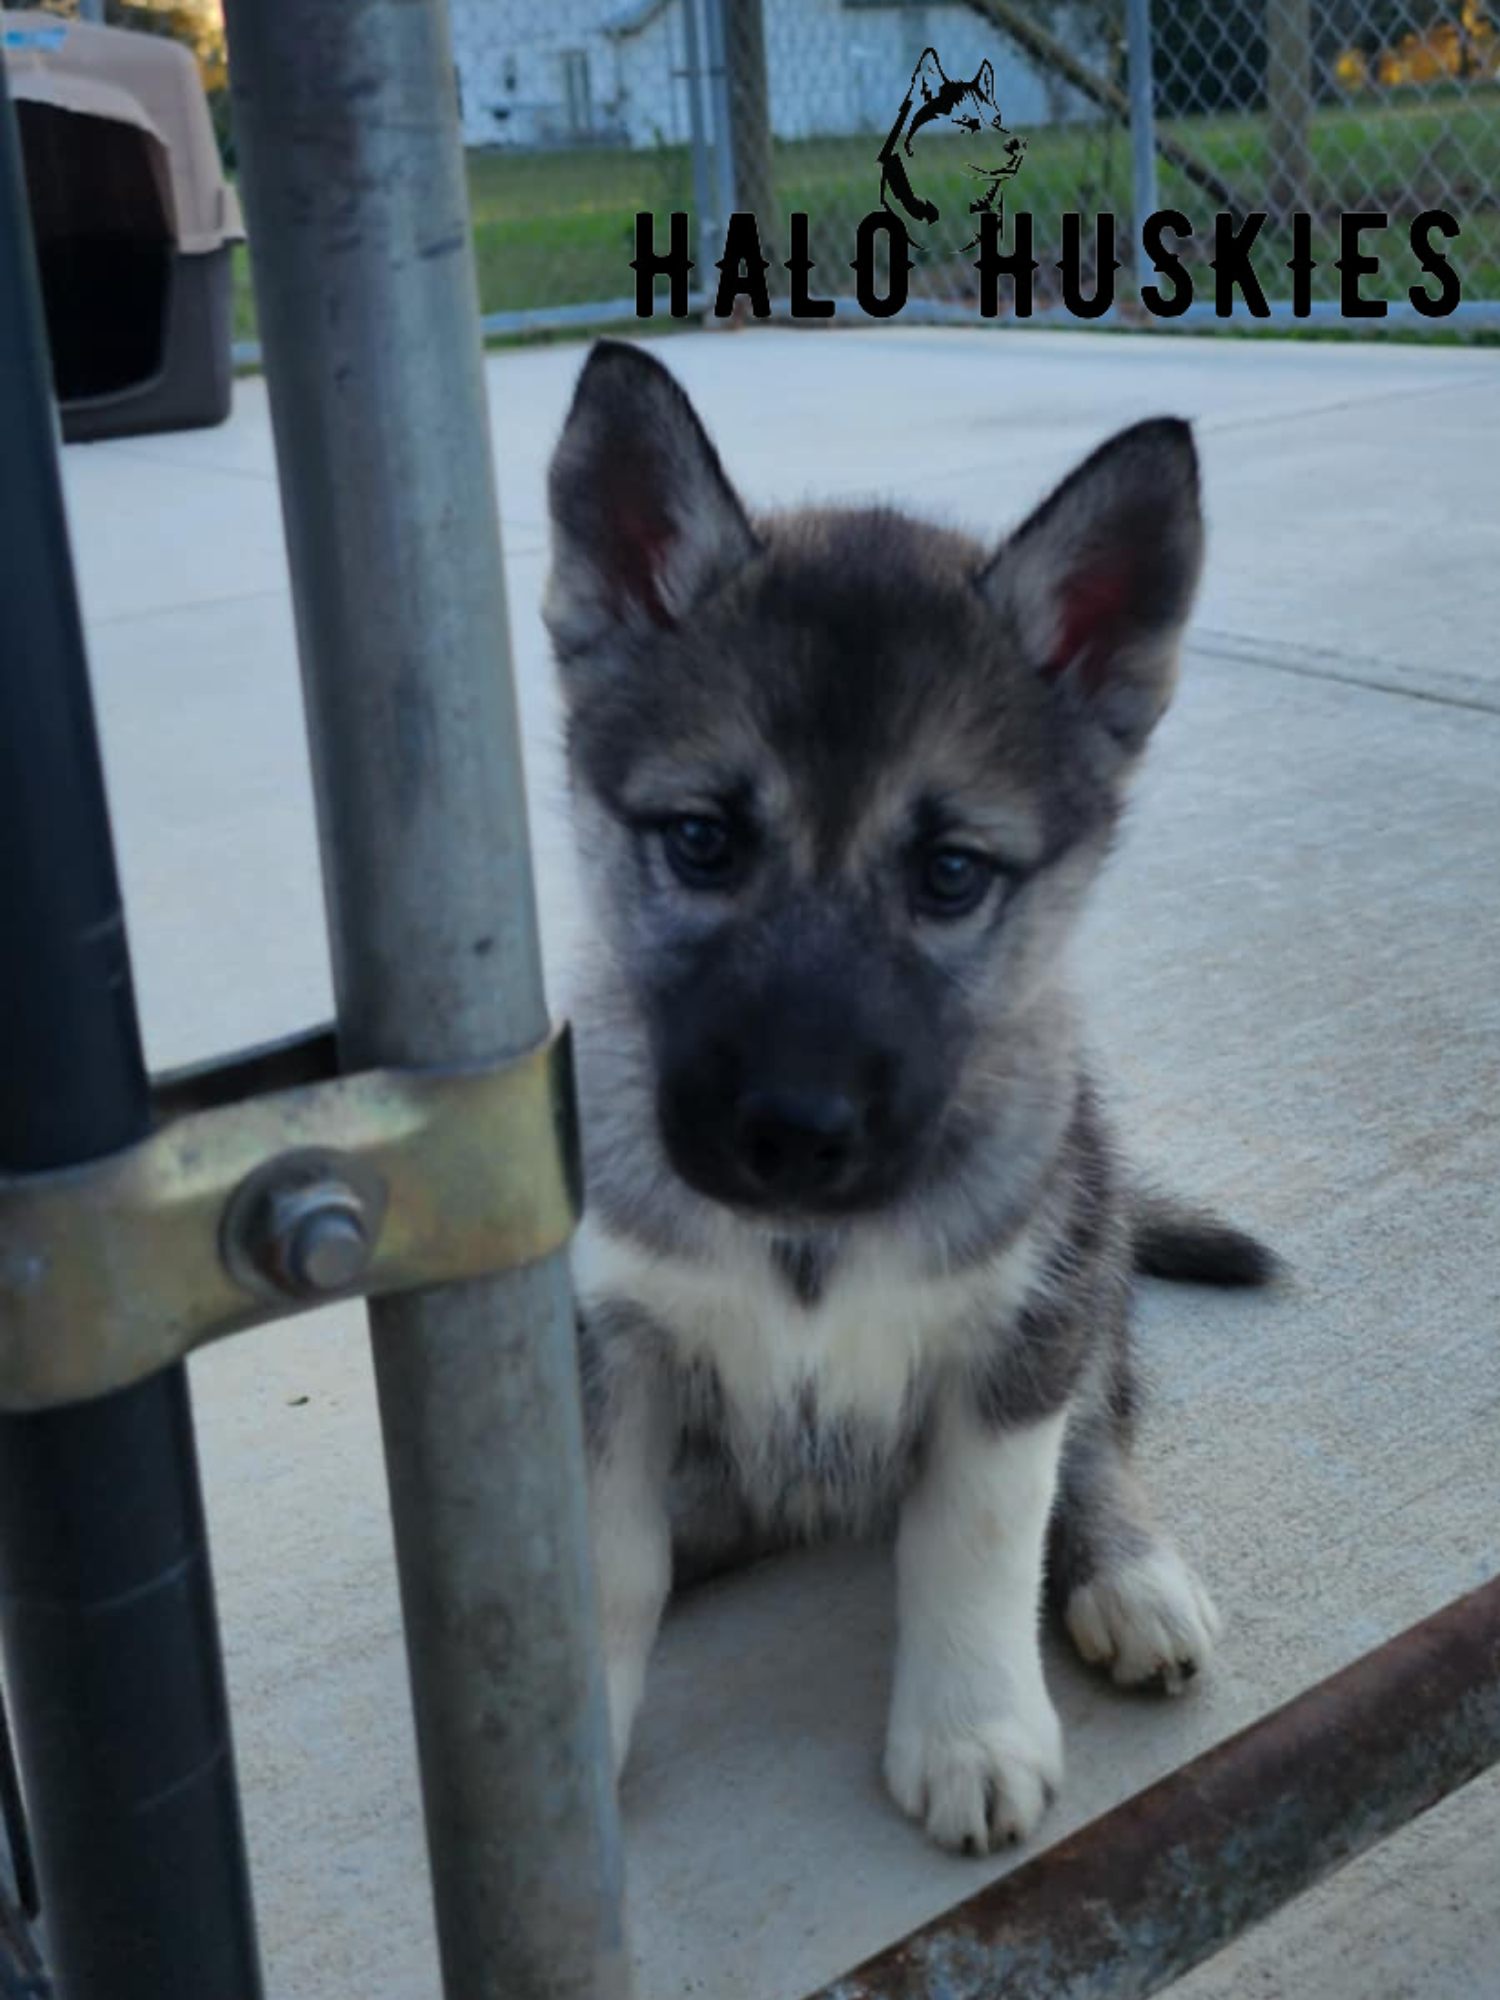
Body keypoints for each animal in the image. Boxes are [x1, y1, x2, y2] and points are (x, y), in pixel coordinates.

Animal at [544, 341, 1273, 1855]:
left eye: (950, 873)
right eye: (701, 840)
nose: (790, 1136)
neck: (806, 1251)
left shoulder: (1018, 1337)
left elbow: (978, 1535)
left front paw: (972, 1728)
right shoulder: (611, 1346)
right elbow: (616, 1560)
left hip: (1093, 1261)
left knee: (1103, 1435)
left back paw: (1130, 1573)